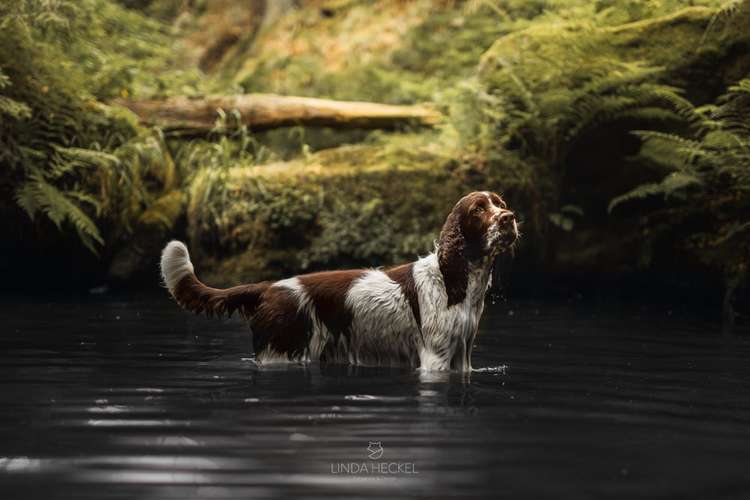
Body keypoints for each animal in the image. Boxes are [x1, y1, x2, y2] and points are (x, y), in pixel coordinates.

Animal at [162, 191, 520, 372]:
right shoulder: (435, 357)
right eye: (478, 210)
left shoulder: (461, 355)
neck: (453, 281)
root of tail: (267, 288)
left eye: (501, 204)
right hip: (282, 351)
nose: (509, 218)